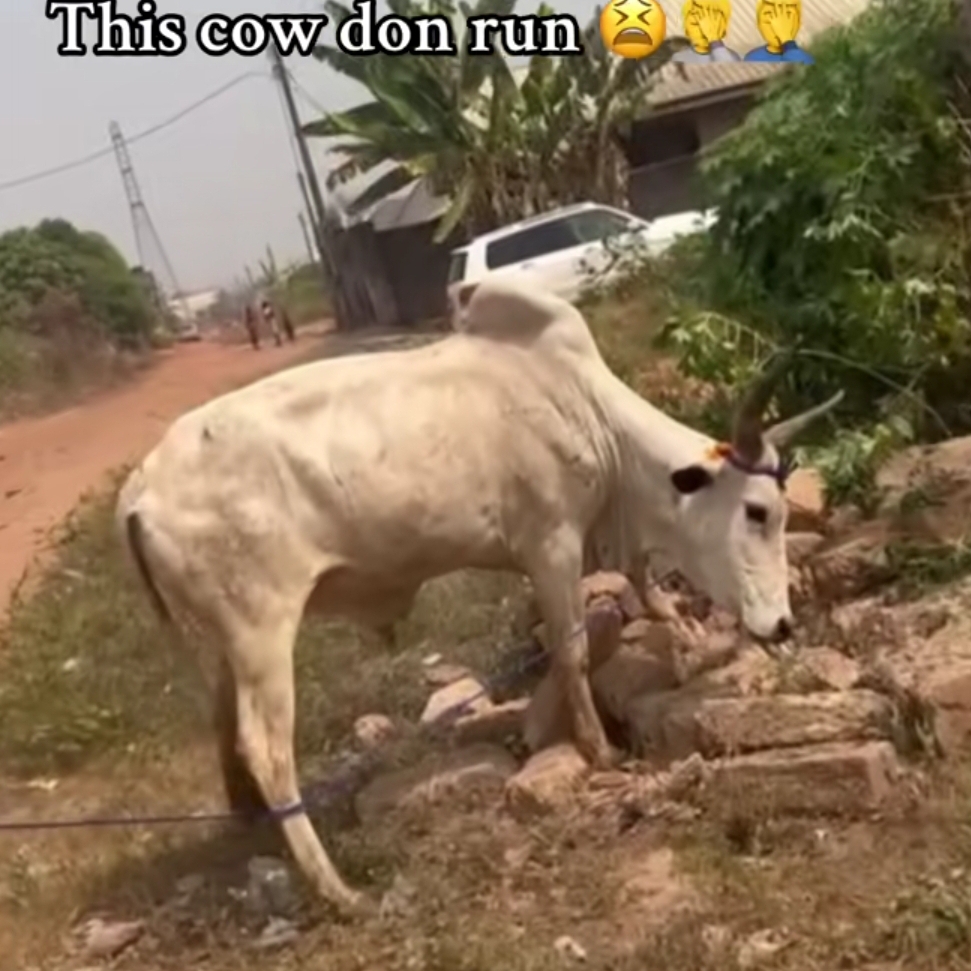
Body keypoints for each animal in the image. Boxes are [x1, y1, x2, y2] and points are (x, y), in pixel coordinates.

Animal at [116, 275, 841, 916]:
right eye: (756, 511)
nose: (781, 624)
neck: (582, 404)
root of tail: (140, 489)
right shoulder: (550, 543)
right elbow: (573, 651)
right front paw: (600, 749)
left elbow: (643, 587)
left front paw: (682, 630)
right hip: (262, 628)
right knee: (266, 752)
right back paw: (337, 889)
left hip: (223, 645)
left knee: (229, 736)